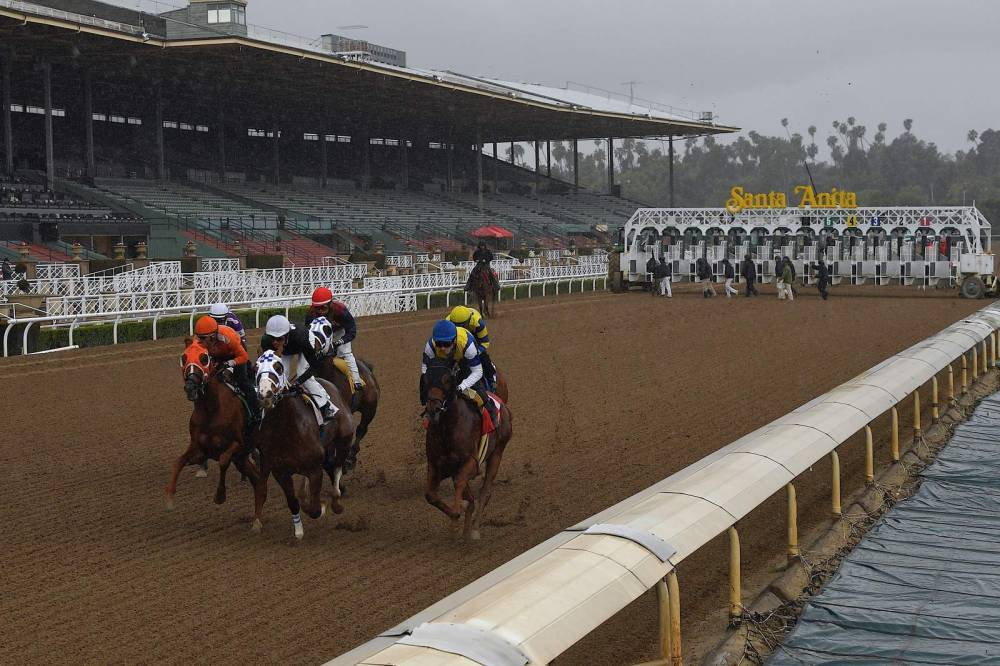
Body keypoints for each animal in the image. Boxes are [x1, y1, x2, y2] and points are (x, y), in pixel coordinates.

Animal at [166, 338, 258, 508]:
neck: (211, 410)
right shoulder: (196, 444)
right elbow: (179, 462)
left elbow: (223, 461)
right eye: (183, 357)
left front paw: (220, 496)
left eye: (204, 358)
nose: (190, 387)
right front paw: (169, 496)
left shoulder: (237, 443)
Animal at [252, 350, 354, 536]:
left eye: (278, 367)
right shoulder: (280, 471)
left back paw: (336, 500)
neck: (286, 428)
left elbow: (314, 508)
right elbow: (293, 501)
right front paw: (298, 531)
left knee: (337, 468)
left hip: (345, 438)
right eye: (255, 368)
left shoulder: (314, 469)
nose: (265, 395)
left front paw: (322, 507)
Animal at [304, 320, 378, 470]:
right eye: (309, 327)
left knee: (361, 429)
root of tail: (368, 368)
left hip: (370, 408)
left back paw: (350, 458)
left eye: (326, 329)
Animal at [424, 356, 516, 536]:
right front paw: (461, 514)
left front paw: (456, 519)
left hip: (497, 452)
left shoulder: (472, 462)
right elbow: (430, 495)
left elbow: (460, 483)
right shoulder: (436, 466)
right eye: (426, 378)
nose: (434, 408)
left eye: (447, 380)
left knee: (485, 492)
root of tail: (503, 406)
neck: (447, 428)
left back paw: (474, 529)